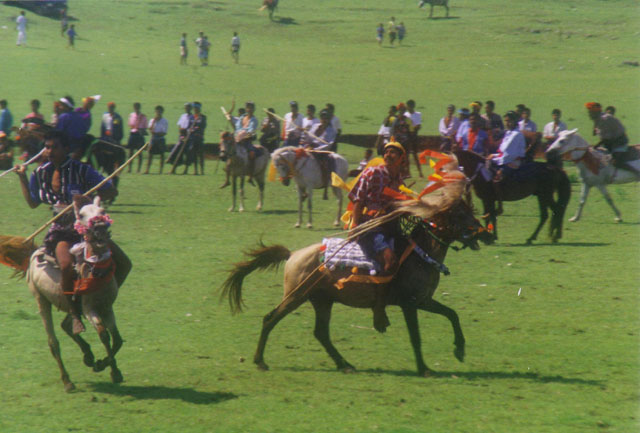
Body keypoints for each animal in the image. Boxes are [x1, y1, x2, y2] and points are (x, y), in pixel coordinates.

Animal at [221, 168, 496, 374]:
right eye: (460, 214)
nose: (487, 235)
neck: (420, 254)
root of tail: (293, 255)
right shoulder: (409, 304)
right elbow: (416, 336)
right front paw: (424, 368)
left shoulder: (423, 300)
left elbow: (452, 315)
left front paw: (459, 349)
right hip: (296, 295)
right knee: (271, 319)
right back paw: (260, 361)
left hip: (322, 300)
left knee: (321, 333)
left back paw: (345, 364)